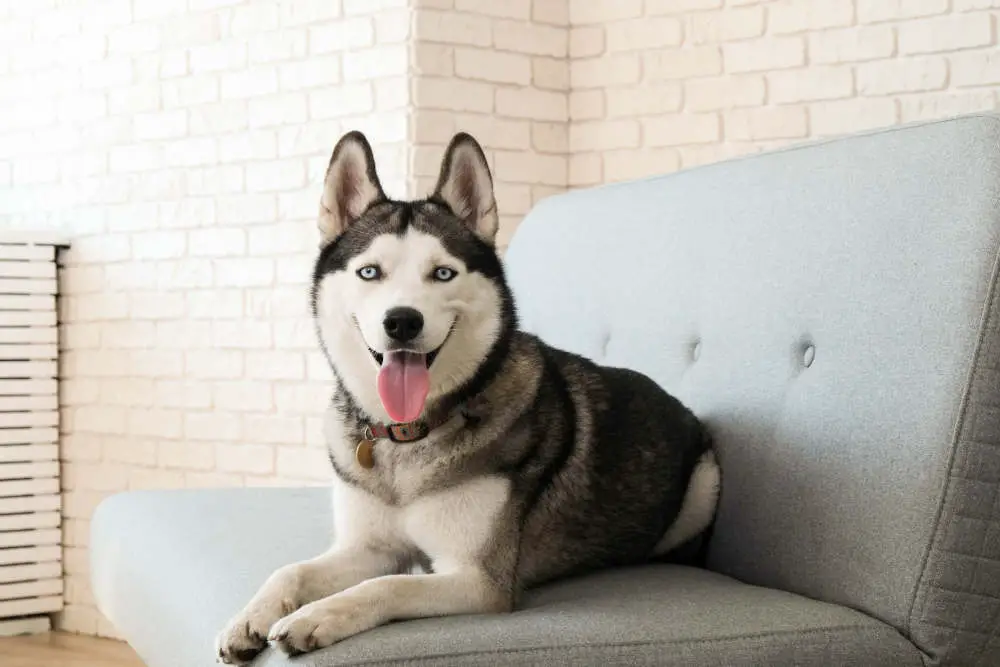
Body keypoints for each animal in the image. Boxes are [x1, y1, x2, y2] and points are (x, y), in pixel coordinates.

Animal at [217, 132, 720, 664]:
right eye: (370, 272)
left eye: (442, 274)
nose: (402, 321)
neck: (408, 434)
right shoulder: (370, 548)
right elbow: (291, 569)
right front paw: (250, 616)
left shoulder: (478, 581)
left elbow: (388, 586)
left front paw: (315, 616)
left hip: (705, 482)